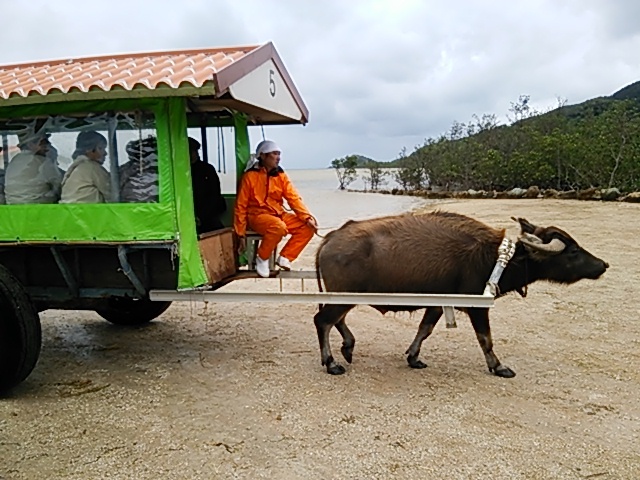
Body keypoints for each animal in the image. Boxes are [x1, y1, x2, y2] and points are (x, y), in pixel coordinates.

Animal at [316, 212, 608, 376]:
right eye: (573, 251)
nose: (603, 265)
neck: (495, 258)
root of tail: (330, 239)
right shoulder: (478, 306)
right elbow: (485, 339)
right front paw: (498, 366)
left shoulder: (438, 304)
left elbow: (424, 330)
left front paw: (414, 357)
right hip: (344, 297)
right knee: (322, 321)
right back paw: (331, 362)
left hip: (342, 297)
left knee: (335, 320)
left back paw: (348, 347)